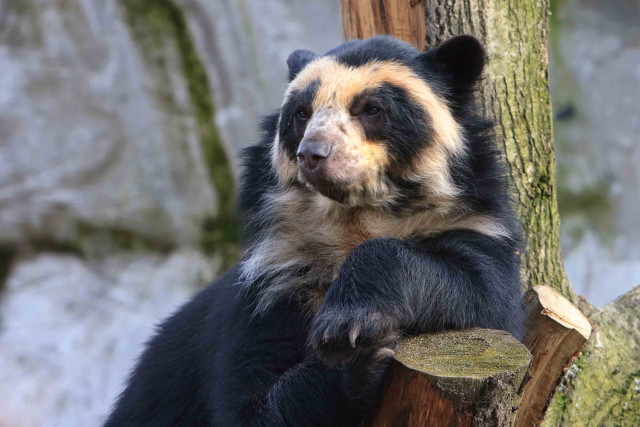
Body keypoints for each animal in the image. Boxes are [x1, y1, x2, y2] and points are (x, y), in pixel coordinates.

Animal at [105, 35, 525, 426]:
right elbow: (247, 405)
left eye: (372, 109)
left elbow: (484, 294)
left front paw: (348, 323)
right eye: (301, 114)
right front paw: (354, 355)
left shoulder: (473, 226)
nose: (312, 154)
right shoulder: (276, 283)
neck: (353, 219)